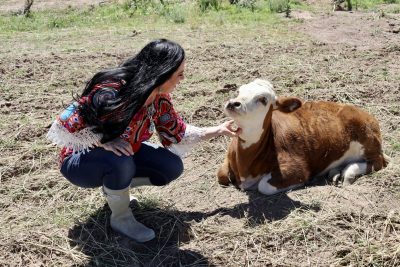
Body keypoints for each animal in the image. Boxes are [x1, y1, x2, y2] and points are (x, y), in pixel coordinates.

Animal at [217, 79, 390, 195]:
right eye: (239, 91)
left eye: (263, 99)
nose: (233, 103)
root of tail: (363, 112)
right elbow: (221, 174)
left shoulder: (297, 169)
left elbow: (264, 186)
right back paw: (335, 172)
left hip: (368, 141)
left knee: (378, 162)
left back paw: (348, 173)